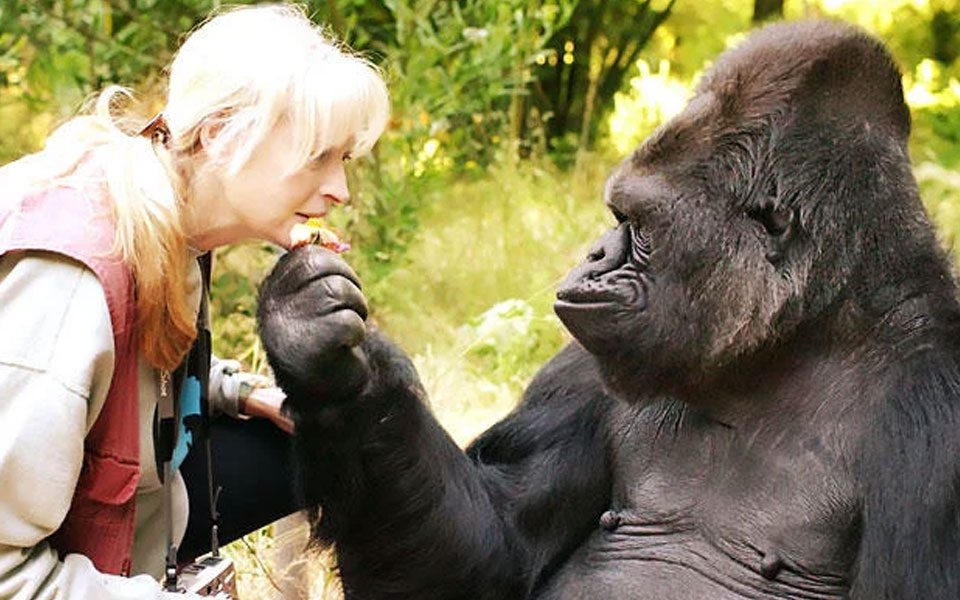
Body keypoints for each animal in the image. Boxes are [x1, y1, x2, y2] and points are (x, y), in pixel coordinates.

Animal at [258, 21, 960, 600]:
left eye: (638, 225)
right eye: (616, 216)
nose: (593, 254)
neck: (798, 339)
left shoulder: (936, 422)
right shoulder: (585, 365)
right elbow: (492, 556)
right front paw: (325, 361)